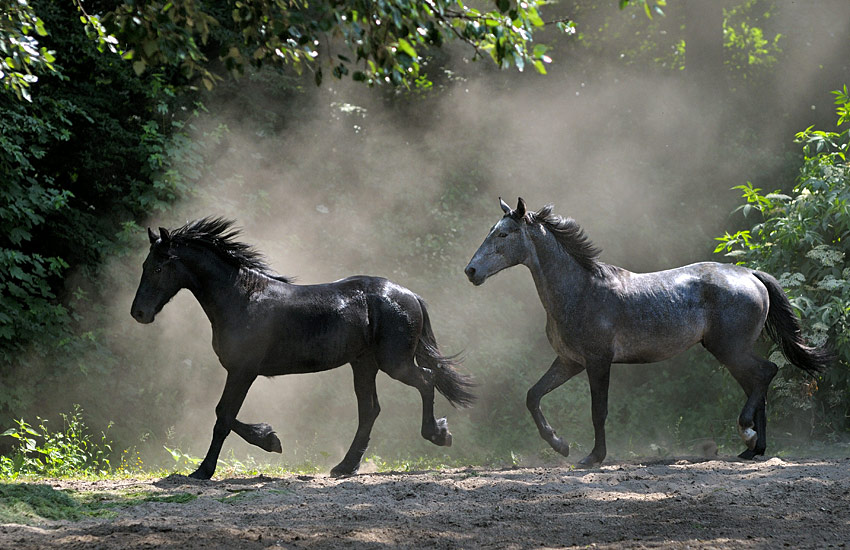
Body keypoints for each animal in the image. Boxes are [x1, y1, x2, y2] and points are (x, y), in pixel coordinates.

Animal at [132, 218, 470, 480]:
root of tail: (410, 295)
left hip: (394, 362)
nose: (139, 313)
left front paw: (205, 470)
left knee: (425, 379)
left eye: (159, 267)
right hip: (364, 364)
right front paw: (270, 438)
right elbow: (225, 414)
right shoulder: (242, 371)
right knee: (370, 409)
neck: (240, 298)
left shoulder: (243, 370)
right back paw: (345, 467)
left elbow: (223, 416)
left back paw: (438, 434)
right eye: (145, 265)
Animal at [464, 196, 828, 468]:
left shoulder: (597, 362)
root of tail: (750, 274)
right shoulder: (570, 361)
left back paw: (748, 436)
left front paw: (593, 457)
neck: (580, 290)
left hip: (730, 349)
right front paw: (560, 445)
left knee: (766, 373)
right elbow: (533, 396)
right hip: (731, 352)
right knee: (757, 383)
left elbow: (598, 411)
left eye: (504, 234)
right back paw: (753, 450)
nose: (471, 271)